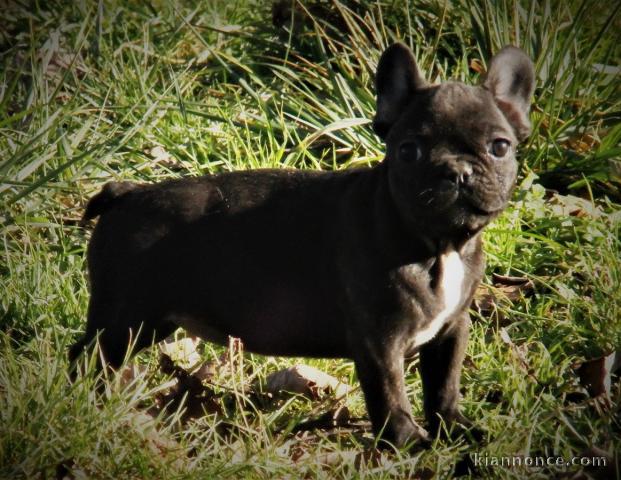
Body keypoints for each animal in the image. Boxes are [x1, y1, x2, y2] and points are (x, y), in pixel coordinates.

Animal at [68, 43, 532, 448]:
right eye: (409, 151)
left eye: (500, 147)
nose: (457, 171)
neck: (436, 244)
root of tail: (127, 193)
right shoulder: (380, 339)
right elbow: (391, 392)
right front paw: (407, 442)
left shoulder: (451, 330)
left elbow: (444, 386)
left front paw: (453, 429)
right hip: (127, 317)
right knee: (89, 356)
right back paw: (89, 405)